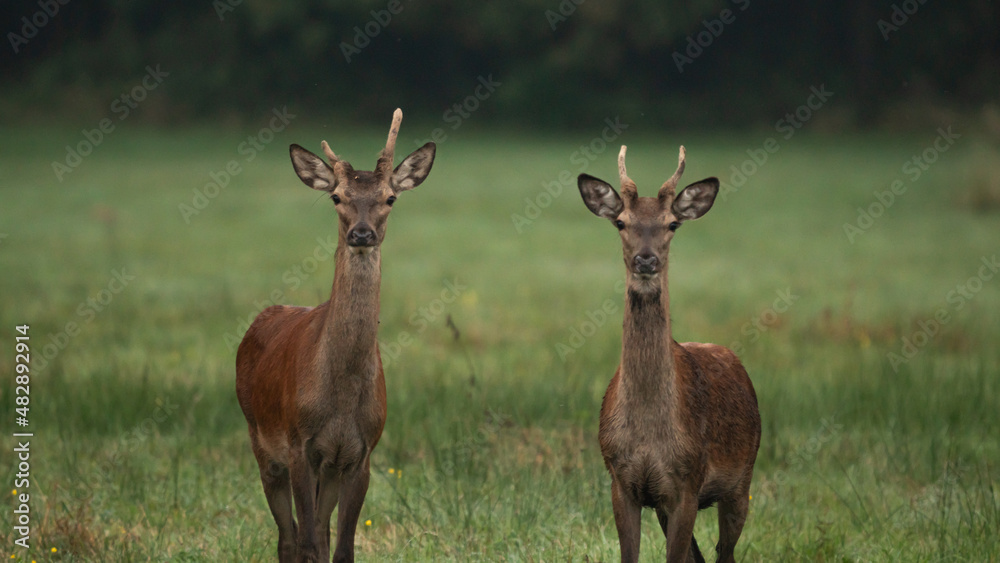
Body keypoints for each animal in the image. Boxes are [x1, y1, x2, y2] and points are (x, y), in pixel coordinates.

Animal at [236, 108, 435, 563]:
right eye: (337, 197)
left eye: (390, 197)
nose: (361, 234)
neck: (341, 396)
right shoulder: (299, 446)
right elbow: (307, 544)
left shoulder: (360, 453)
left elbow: (340, 547)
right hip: (260, 439)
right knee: (287, 538)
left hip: (326, 469)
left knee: (318, 533)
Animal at [576, 146, 761, 563]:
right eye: (621, 222)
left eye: (673, 223)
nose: (646, 259)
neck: (649, 434)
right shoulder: (622, 481)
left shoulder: (688, 482)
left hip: (742, 478)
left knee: (725, 553)